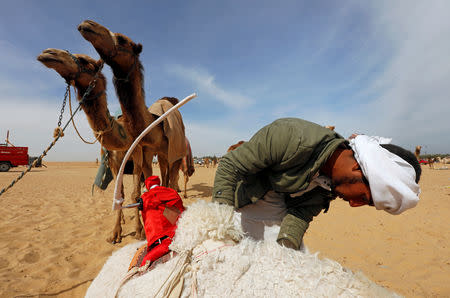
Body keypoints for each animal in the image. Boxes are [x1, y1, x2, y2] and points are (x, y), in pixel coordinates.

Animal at [37, 49, 146, 243]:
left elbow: (135, 193)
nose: (48, 53)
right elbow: (119, 193)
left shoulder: (137, 155)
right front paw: (115, 233)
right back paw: (123, 218)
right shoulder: (113, 162)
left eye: (85, 61)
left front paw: (139, 231)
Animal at [78, 19, 185, 191]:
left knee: (170, 177)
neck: (156, 126)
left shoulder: (173, 151)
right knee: (164, 173)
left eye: (122, 39)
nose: (87, 24)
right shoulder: (146, 152)